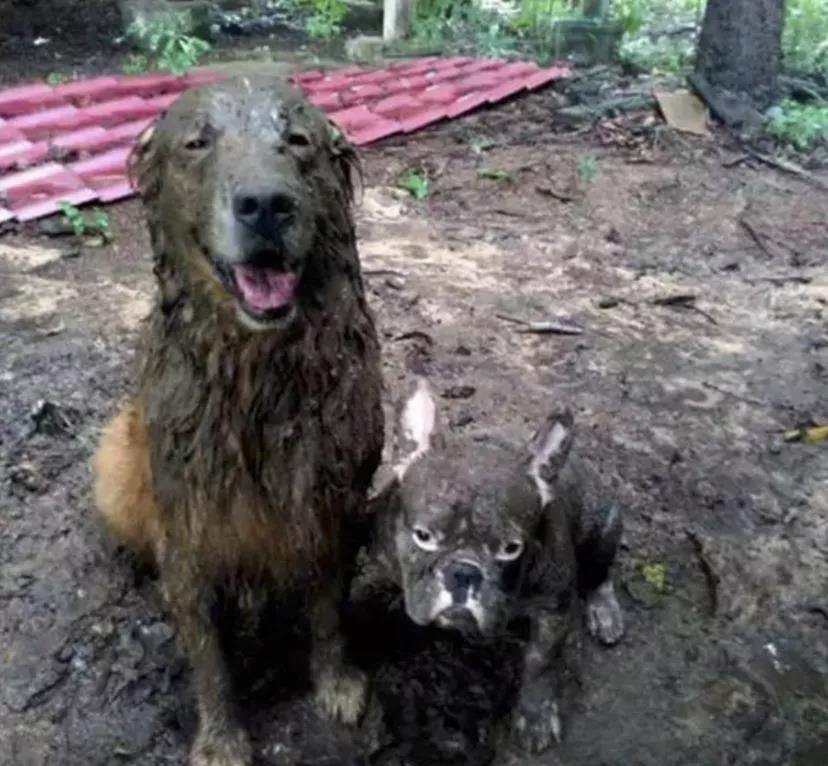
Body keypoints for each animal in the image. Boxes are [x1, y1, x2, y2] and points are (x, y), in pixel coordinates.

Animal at [92, 76, 384, 766]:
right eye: (197, 143)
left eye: (297, 140)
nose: (266, 205)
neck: (257, 375)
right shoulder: (189, 523)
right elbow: (208, 652)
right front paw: (221, 738)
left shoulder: (331, 505)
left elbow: (329, 612)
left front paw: (337, 683)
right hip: (117, 454)